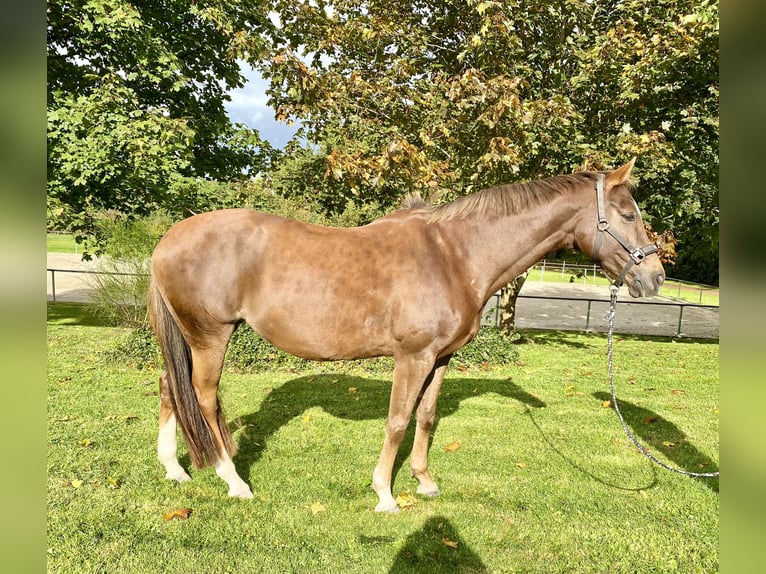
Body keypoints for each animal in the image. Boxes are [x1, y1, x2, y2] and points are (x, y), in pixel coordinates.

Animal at [148, 158, 664, 512]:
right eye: (629, 215)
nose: (655, 277)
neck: (454, 255)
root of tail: (167, 240)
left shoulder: (440, 358)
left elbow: (426, 418)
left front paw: (424, 480)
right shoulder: (412, 357)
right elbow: (397, 420)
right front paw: (385, 494)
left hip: (187, 339)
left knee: (170, 387)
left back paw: (174, 470)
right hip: (210, 336)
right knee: (203, 395)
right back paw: (233, 480)